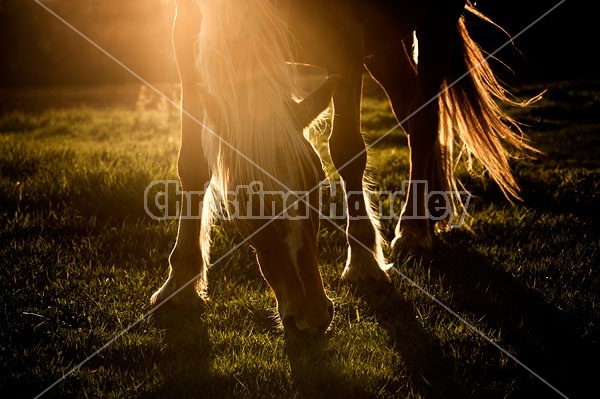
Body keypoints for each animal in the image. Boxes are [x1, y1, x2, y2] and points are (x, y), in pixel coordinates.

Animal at [149, 0, 536, 338]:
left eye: (318, 184)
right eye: (244, 207)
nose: (311, 315)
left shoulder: (345, 42)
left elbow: (348, 150)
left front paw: (364, 261)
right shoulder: (184, 41)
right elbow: (192, 165)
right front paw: (180, 282)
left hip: (433, 24)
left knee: (424, 119)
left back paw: (413, 228)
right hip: (385, 45)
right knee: (411, 108)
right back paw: (432, 210)